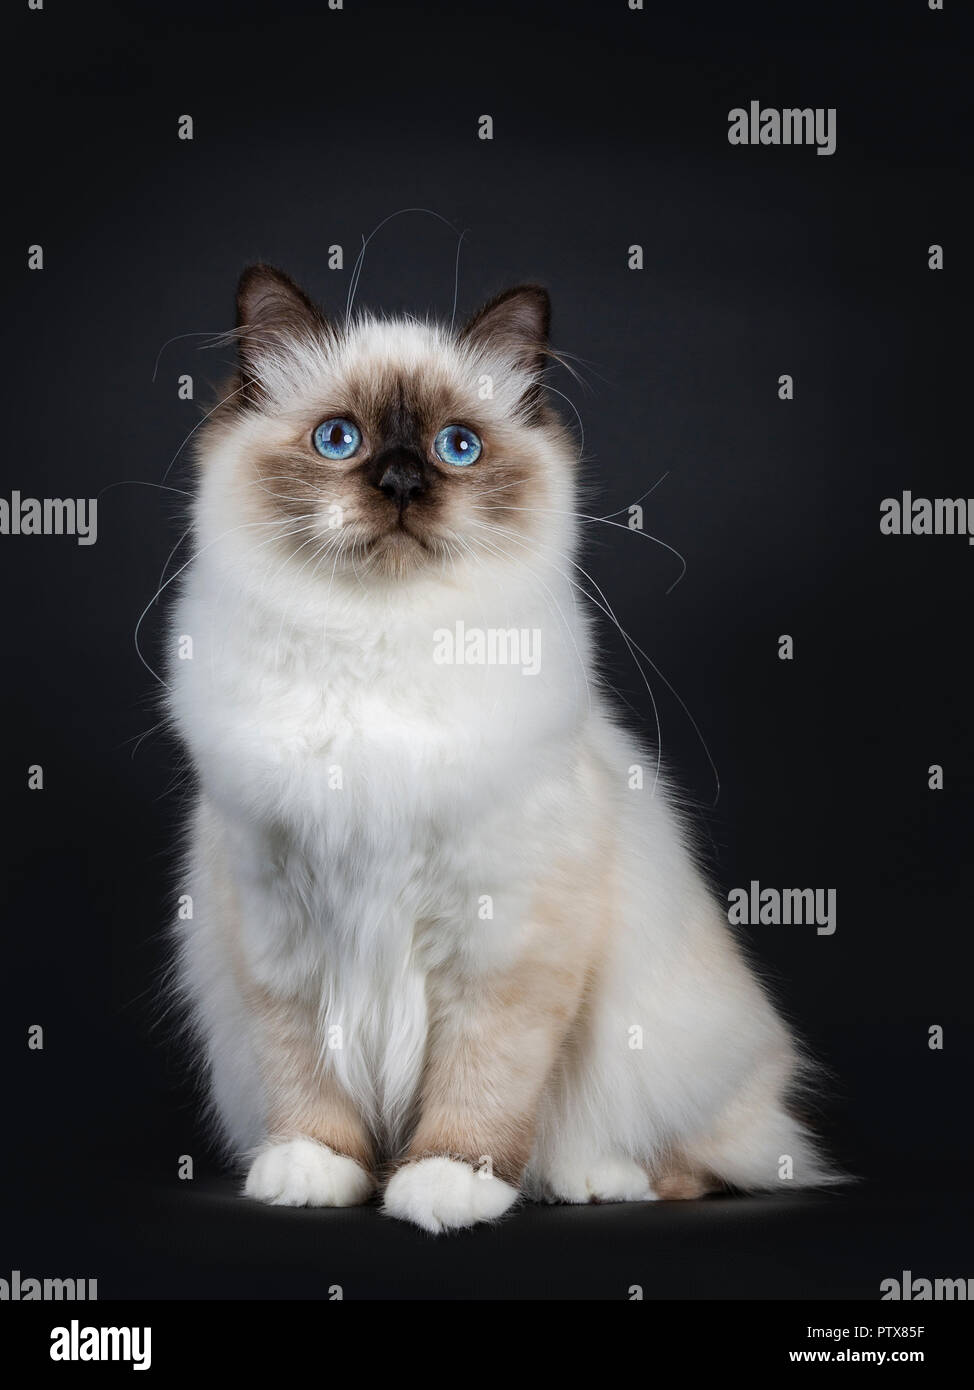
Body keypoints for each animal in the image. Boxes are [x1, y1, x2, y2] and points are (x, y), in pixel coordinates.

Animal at [163, 265, 833, 1234]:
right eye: (339, 439)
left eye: (457, 447)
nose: (402, 479)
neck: (379, 652)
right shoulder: (279, 924)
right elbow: (306, 1069)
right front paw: (318, 1171)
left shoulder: (505, 939)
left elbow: (482, 1086)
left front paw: (446, 1185)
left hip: (685, 1051)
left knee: (714, 1162)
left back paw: (592, 1178)